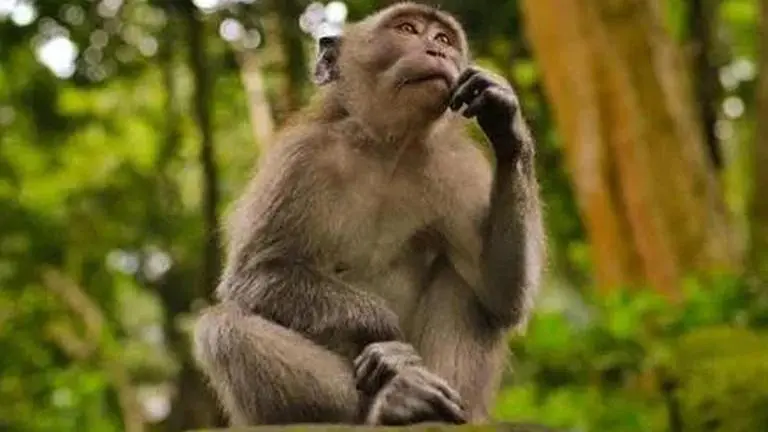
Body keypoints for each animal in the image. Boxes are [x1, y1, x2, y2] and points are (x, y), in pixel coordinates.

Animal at [193, 1, 545, 426]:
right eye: (407, 29)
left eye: (444, 39)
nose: (438, 51)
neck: (387, 148)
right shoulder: (299, 158)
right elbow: (255, 274)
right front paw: (386, 334)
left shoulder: (459, 170)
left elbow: (501, 294)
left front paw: (506, 121)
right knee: (222, 327)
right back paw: (392, 399)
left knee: (465, 284)